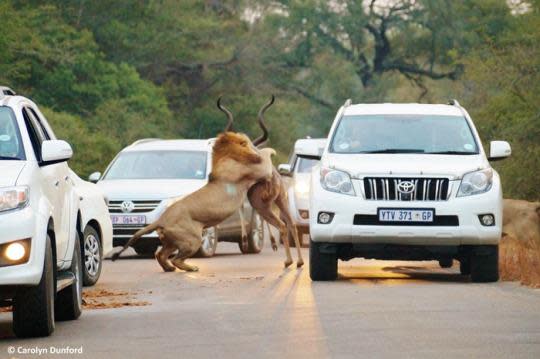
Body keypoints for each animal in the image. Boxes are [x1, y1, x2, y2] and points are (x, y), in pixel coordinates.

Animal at [217, 97, 306, 268]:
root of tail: (273, 179)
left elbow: (240, 208)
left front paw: (245, 241)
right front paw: (271, 243)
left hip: (262, 204)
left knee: (282, 225)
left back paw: (288, 261)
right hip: (280, 200)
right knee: (291, 224)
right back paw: (299, 261)